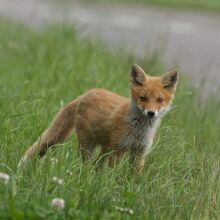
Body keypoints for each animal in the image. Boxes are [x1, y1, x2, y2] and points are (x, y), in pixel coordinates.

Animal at [18, 63, 178, 170]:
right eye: (143, 98)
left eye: (159, 100)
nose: (151, 113)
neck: (139, 130)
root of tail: (87, 93)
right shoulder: (119, 150)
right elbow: (114, 173)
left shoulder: (140, 153)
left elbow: (134, 178)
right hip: (88, 144)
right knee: (87, 164)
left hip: (105, 148)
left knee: (97, 165)